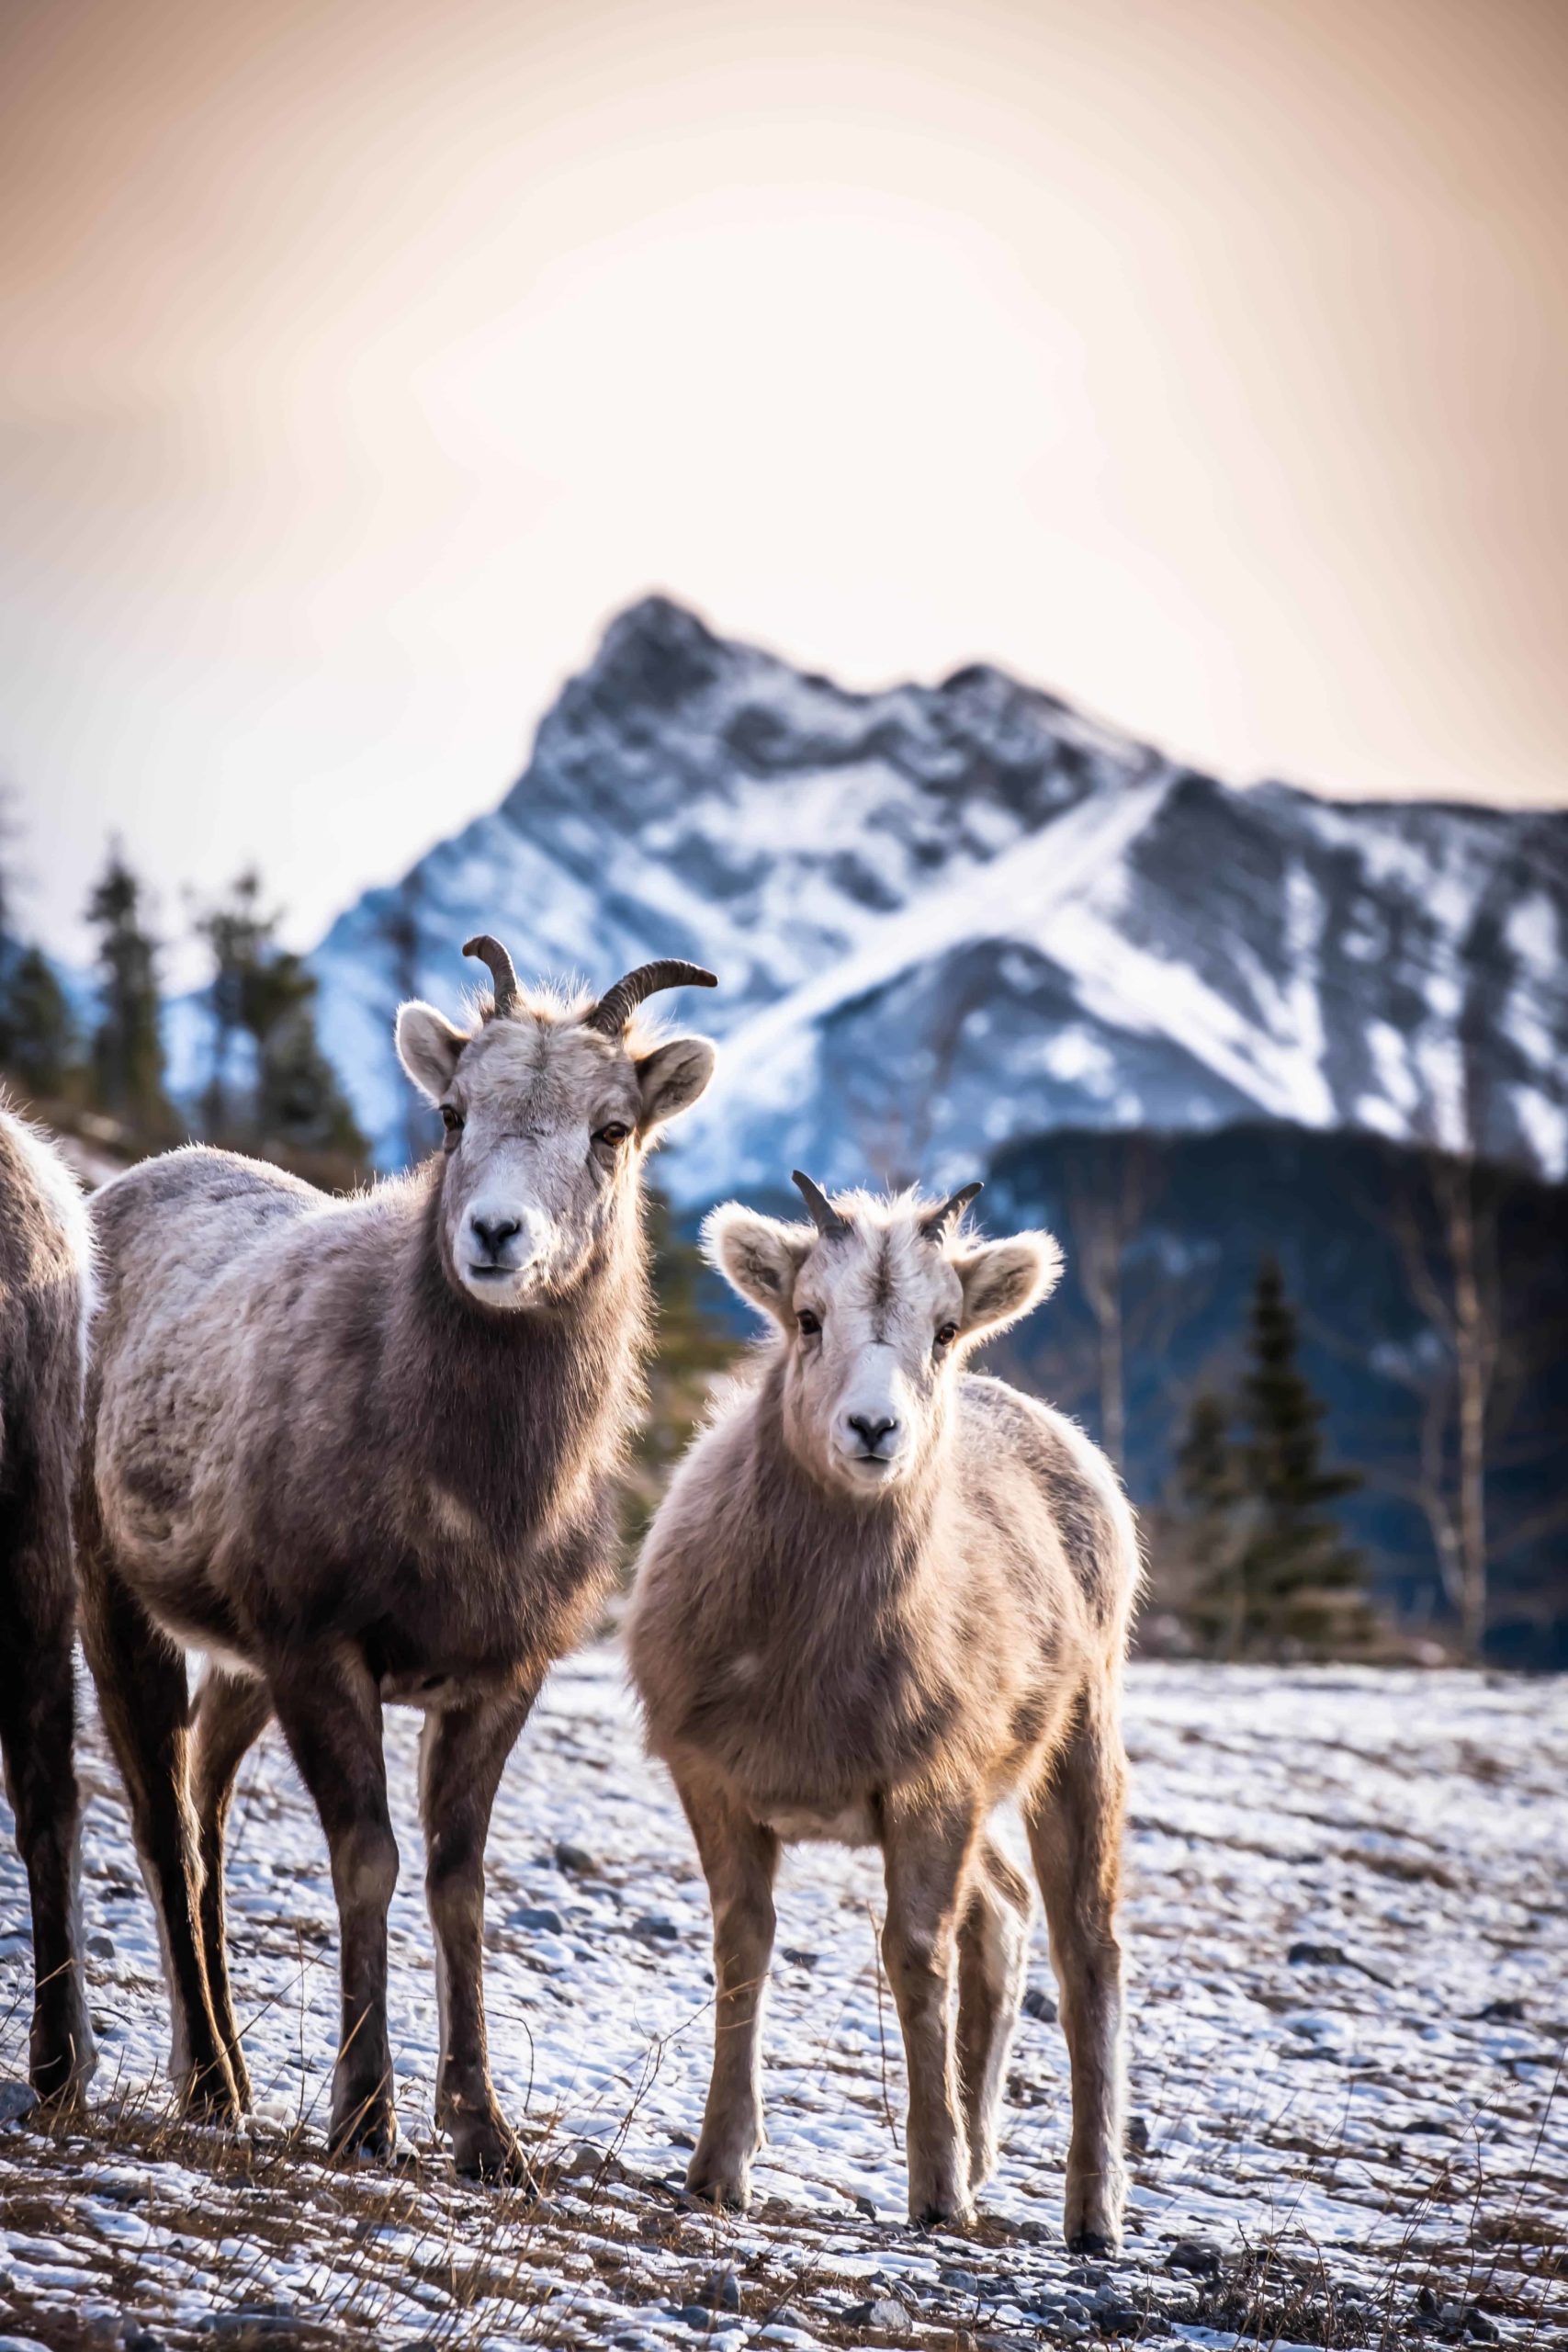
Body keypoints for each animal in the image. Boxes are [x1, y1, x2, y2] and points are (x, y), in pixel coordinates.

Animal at [83, 931, 719, 2164]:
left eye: (611, 1129)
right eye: (455, 1114)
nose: (497, 1234)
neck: (477, 1504)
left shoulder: (496, 1679)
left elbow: (457, 1881)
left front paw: (486, 2138)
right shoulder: (321, 1650)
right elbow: (367, 1859)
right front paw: (366, 2118)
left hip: (239, 1670)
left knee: (205, 1817)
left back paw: (225, 2079)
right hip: (114, 1598)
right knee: (160, 1825)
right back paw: (210, 2086)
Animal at [625, 1170, 1142, 2239]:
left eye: (942, 1330)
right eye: (807, 1317)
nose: (873, 1430)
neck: (806, 1672)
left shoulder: (928, 1788)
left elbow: (914, 1959)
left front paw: (939, 2195)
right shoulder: (715, 1783)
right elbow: (744, 1946)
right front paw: (718, 2169)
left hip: (1076, 1749)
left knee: (1086, 1952)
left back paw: (1092, 2216)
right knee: (1006, 1914)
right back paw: (991, 2156)